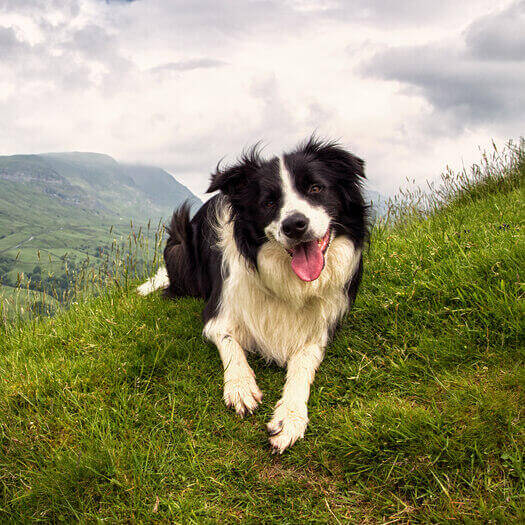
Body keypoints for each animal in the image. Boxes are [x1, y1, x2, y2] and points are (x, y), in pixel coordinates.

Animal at [137, 137, 366, 452]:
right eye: (268, 202)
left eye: (316, 188)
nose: (294, 225)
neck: (287, 281)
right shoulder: (217, 313)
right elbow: (230, 344)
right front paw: (240, 386)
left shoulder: (322, 327)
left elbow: (303, 364)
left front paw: (290, 416)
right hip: (179, 245)